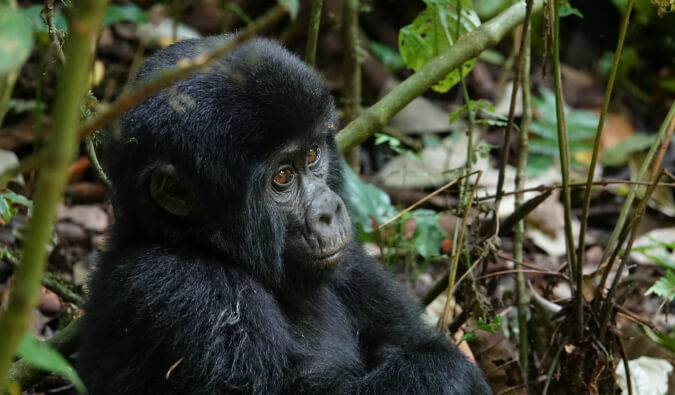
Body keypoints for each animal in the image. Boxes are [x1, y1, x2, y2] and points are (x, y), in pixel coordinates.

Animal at [80, 35, 492, 394]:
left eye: (312, 154)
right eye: (282, 176)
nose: (329, 211)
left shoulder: (352, 261)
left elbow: (413, 339)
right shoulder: (180, 288)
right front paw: (448, 370)